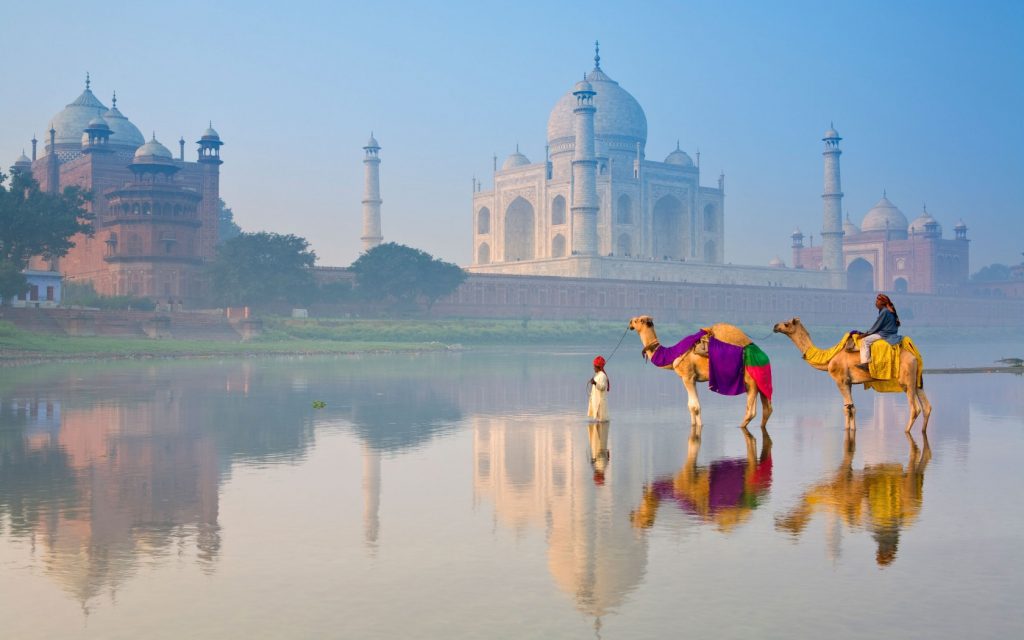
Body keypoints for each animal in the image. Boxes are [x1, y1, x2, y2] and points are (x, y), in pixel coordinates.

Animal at [626, 315, 770, 430]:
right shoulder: (692, 379)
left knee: (751, 410)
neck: (672, 355)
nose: (630, 323)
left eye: (637, 320)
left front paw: (699, 427)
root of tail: (762, 354)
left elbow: (695, 406)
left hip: (749, 379)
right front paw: (694, 425)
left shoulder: (687, 376)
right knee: (766, 408)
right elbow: (691, 406)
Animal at [770, 317, 933, 432]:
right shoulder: (848, 382)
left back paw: (906, 431)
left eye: (786, 324)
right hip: (917, 380)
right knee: (927, 407)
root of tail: (915, 357)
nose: (775, 326)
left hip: (906, 380)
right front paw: (850, 430)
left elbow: (847, 408)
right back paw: (923, 431)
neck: (828, 359)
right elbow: (851, 408)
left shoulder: (840, 380)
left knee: (915, 408)